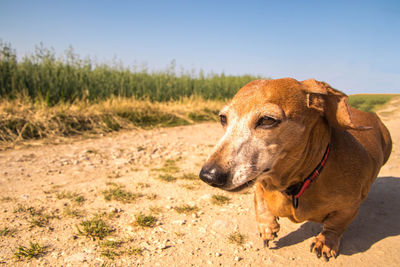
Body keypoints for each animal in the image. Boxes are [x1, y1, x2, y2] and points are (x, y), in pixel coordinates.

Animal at [199, 77, 390, 262]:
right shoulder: (260, 180)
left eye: (267, 120)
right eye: (223, 118)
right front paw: (267, 227)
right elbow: (259, 196)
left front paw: (325, 242)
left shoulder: (350, 206)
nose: (208, 176)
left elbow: (335, 225)